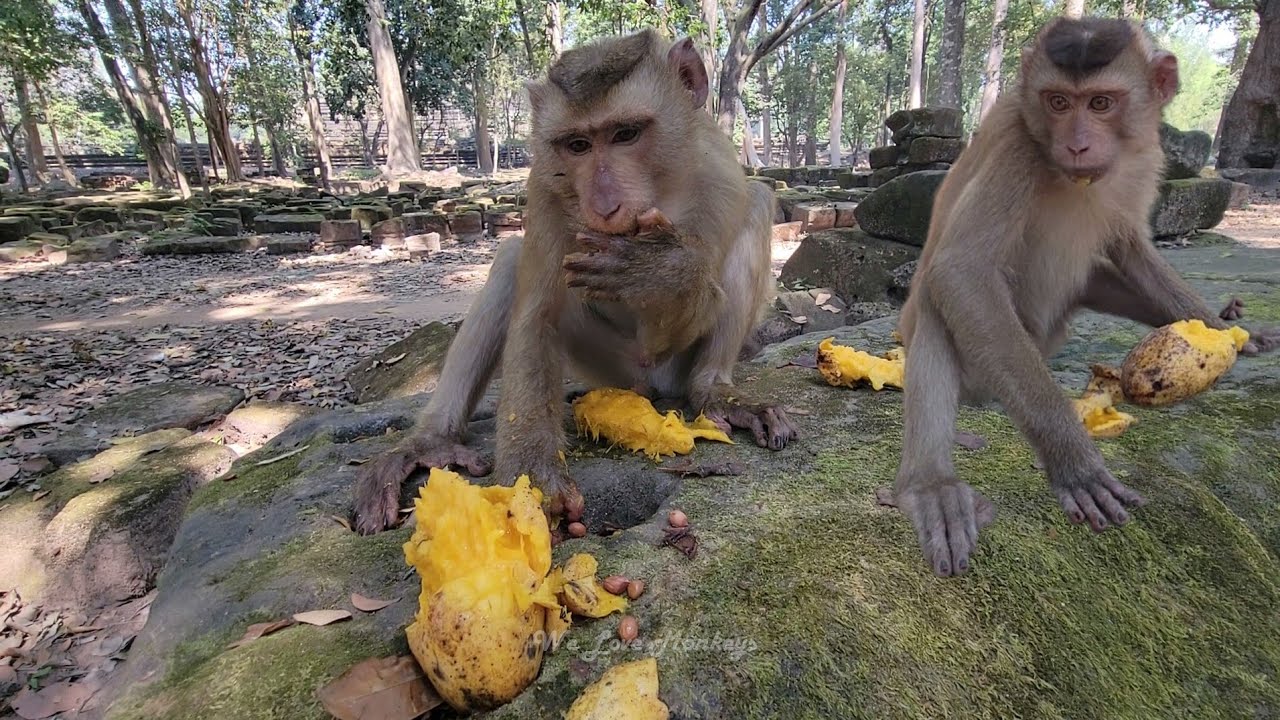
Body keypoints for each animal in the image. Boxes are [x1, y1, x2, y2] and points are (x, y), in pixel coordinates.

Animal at [353, 29, 798, 535]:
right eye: (578, 145)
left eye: (626, 135)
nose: (603, 205)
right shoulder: (545, 185)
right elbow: (538, 315)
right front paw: (532, 478)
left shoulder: (720, 176)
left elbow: (689, 305)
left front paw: (661, 271)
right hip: (615, 370)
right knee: (511, 260)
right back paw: (430, 442)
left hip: (664, 368)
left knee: (759, 202)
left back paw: (714, 391)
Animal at [893, 17, 1280, 577]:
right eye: (1057, 102)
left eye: (1100, 103)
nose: (1077, 145)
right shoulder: (1015, 140)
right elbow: (961, 271)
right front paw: (1073, 461)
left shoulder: (1145, 156)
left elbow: (1131, 245)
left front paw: (1225, 328)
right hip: (984, 368)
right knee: (938, 300)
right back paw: (932, 486)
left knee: (1093, 276)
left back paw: (1224, 318)